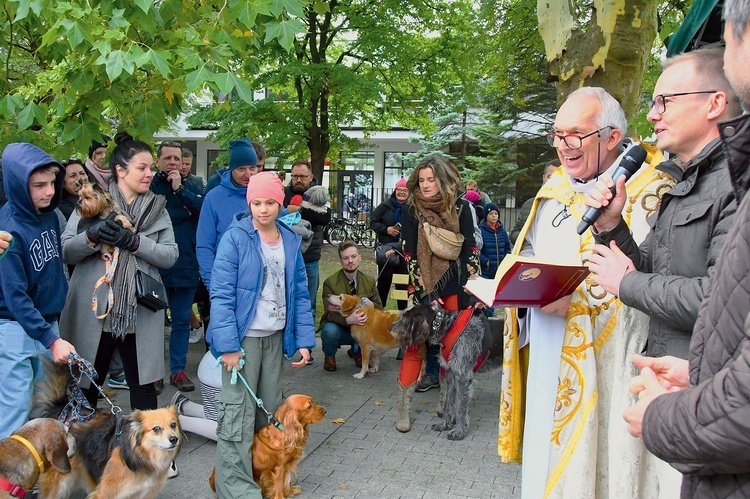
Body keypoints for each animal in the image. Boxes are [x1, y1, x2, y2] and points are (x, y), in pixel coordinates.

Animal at [390, 304, 502, 442]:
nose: (390, 327)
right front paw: (444, 424)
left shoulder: (462, 375)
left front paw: (459, 431)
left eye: (405, 318)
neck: (447, 326)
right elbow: (448, 402)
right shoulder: (451, 373)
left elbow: (460, 406)